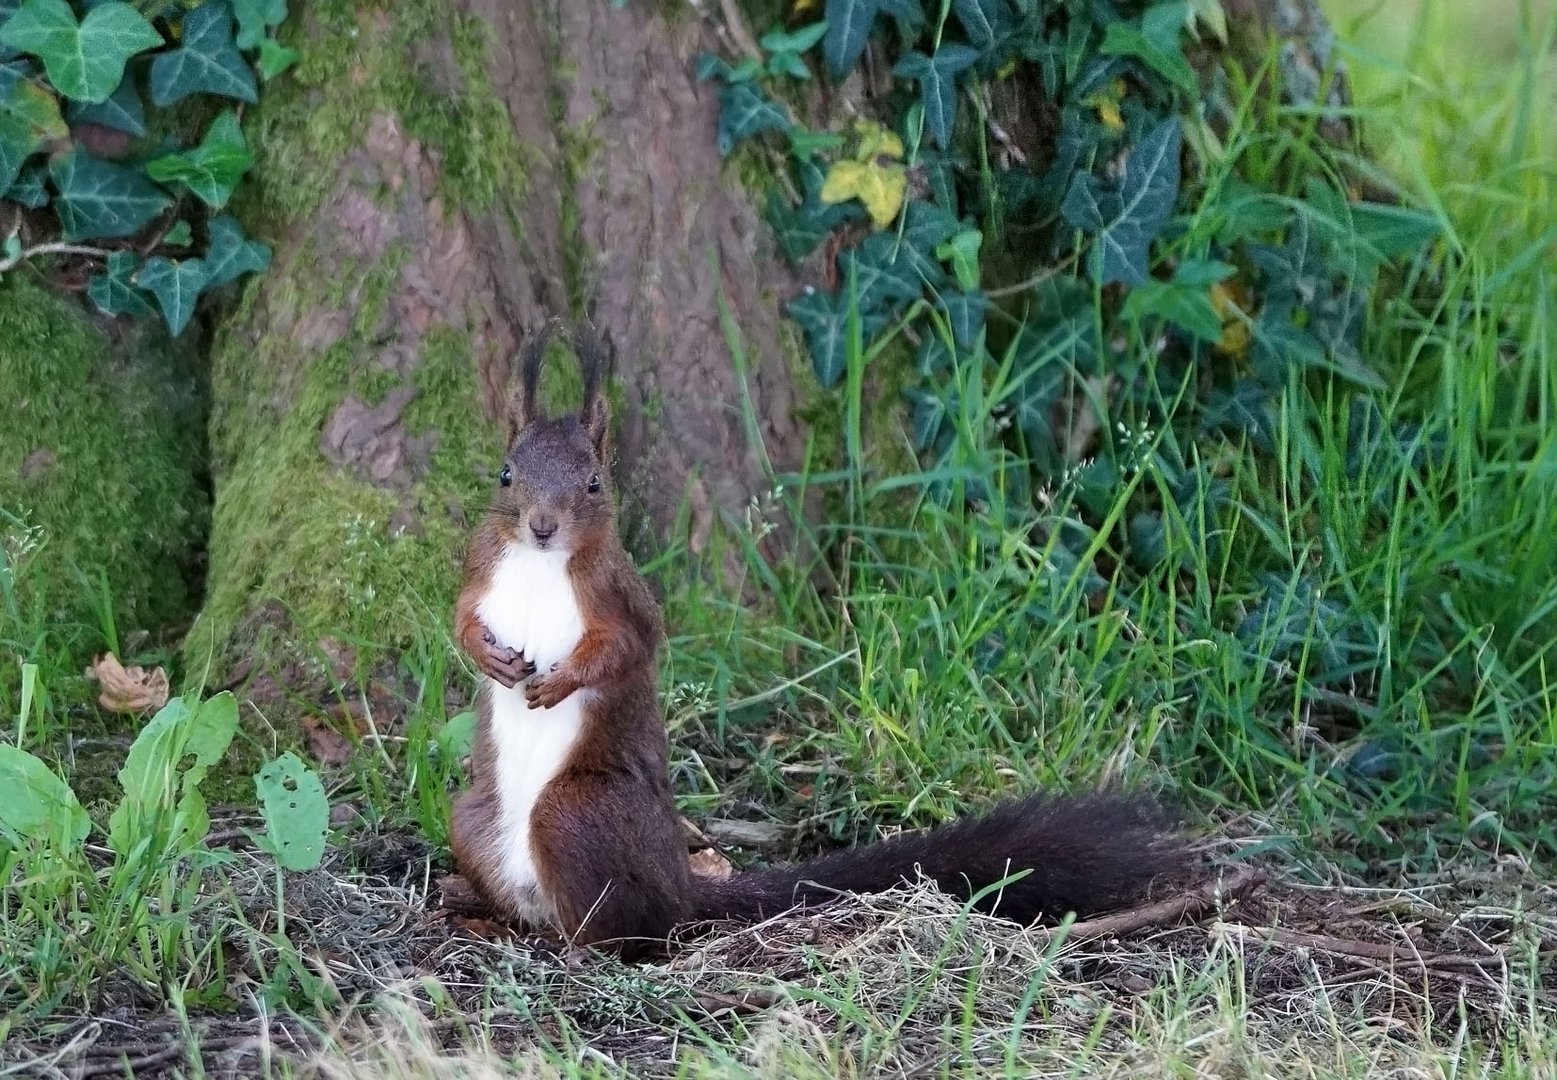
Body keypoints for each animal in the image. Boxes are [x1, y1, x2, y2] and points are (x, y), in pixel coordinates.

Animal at [451, 323, 1189, 964]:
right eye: (505, 474)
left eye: (594, 482)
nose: (543, 526)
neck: (540, 564)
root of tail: (683, 884)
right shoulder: (481, 567)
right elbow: (458, 618)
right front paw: (486, 656)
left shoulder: (620, 597)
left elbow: (629, 648)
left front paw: (561, 680)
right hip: (471, 815)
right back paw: (492, 920)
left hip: (577, 814)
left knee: (635, 927)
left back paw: (581, 949)